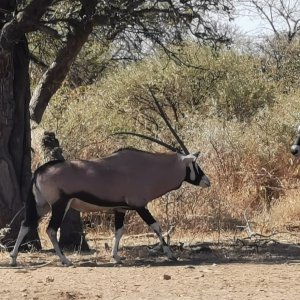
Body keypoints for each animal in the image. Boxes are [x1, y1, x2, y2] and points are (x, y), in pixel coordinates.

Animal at [9, 88, 211, 264]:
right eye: (195, 164)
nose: (207, 181)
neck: (147, 167)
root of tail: (40, 171)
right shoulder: (140, 205)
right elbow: (156, 226)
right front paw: (170, 254)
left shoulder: (120, 208)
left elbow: (119, 231)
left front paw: (117, 257)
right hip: (59, 204)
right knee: (50, 229)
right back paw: (65, 260)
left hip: (42, 205)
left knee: (26, 223)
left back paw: (13, 259)